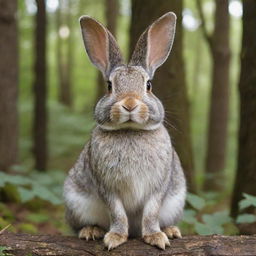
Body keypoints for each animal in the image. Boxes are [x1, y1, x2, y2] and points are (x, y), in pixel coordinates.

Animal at [62, 11, 186, 250]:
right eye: (109, 86)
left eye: (148, 85)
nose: (129, 104)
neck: (130, 130)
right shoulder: (107, 187)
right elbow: (117, 212)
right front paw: (115, 238)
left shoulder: (158, 188)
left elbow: (151, 213)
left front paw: (156, 237)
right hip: (76, 201)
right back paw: (91, 231)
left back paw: (171, 230)